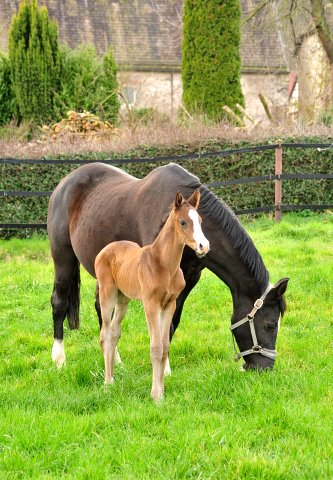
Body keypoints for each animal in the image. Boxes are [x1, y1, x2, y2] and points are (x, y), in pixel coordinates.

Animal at [94, 189, 208, 400]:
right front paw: (156, 396)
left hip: (123, 299)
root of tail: (105, 250)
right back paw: (107, 383)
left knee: (114, 331)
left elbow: (164, 347)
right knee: (105, 333)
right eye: (183, 222)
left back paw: (112, 378)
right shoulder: (151, 304)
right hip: (108, 295)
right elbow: (156, 348)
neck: (164, 264)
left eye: (200, 220)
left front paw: (162, 390)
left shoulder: (169, 304)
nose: (203, 246)